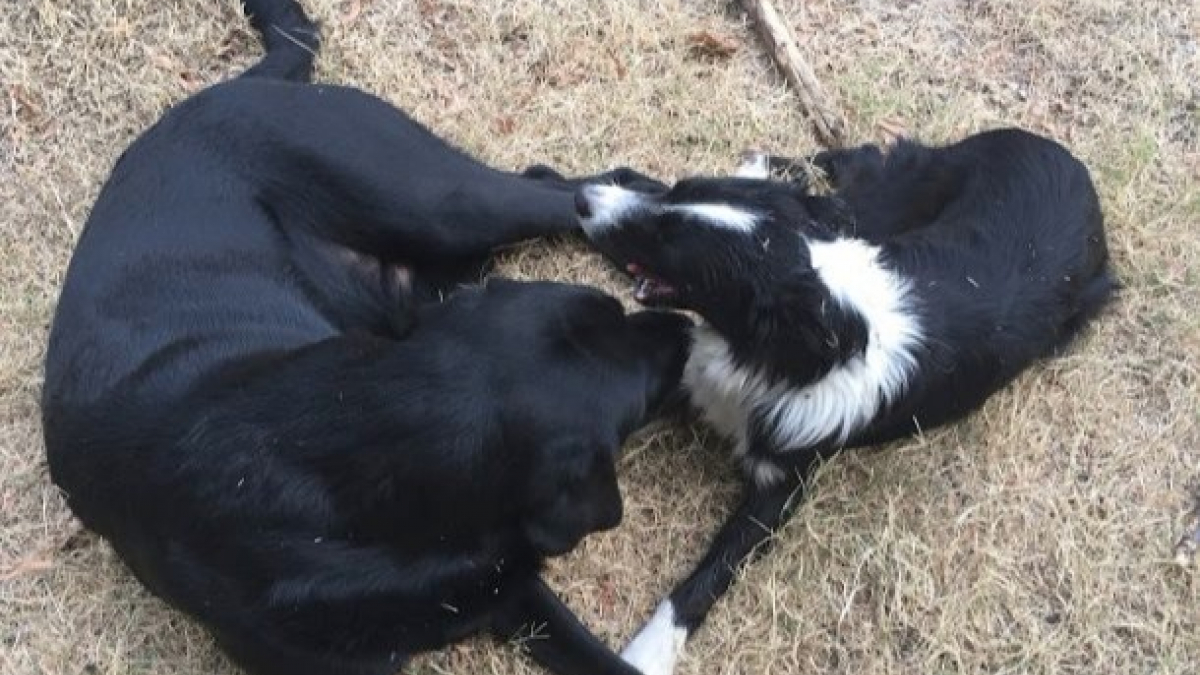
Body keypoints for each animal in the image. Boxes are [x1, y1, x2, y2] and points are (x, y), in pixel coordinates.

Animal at [42, 1, 691, 672]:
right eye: (638, 400)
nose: (686, 329)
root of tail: (242, 84)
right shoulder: (493, 587)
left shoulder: (507, 584)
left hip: (439, 204)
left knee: (565, 191)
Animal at [573, 128, 1113, 667]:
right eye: (678, 188)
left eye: (670, 242)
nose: (584, 199)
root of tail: (1058, 153)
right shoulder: (698, 387)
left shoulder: (781, 489)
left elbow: (710, 576)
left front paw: (649, 652)